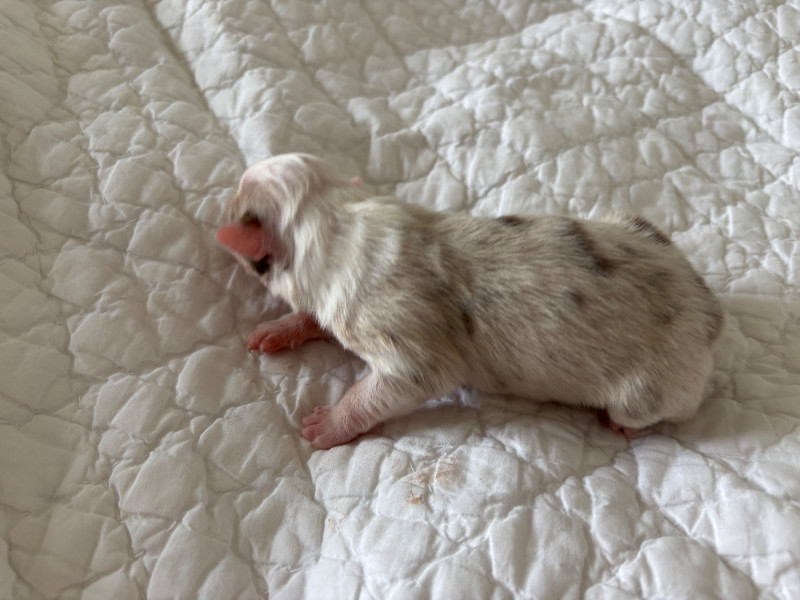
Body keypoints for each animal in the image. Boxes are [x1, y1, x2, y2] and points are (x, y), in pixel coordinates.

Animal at [216, 153, 724, 448]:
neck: (335, 216)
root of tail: (709, 313)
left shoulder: (405, 343)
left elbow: (395, 385)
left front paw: (329, 423)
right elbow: (312, 315)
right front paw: (279, 329)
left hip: (651, 388)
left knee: (653, 412)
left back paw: (624, 426)